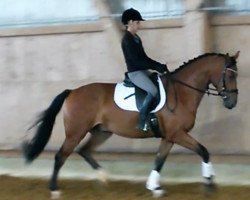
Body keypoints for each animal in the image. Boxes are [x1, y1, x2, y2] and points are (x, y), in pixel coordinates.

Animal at [23, 50, 240, 198]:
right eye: (230, 75)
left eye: (236, 74)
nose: (232, 103)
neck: (181, 92)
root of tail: (72, 91)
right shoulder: (178, 134)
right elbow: (203, 151)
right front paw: (209, 183)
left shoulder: (170, 136)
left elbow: (159, 160)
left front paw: (154, 187)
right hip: (76, 132)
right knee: (61, 156)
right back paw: (55, 190)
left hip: (102, 131)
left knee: (84, 150)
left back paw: (103, 178)